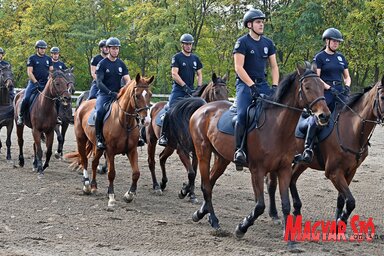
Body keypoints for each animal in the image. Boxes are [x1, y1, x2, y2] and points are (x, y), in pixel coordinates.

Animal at [73, 73, 153, 207]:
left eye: (150, 94)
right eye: (137, 95)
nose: (146, 120)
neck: (124, 122)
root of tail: (83, 104)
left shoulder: (132, 150)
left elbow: (136, 173)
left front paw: (129, 195)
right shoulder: (110, 151)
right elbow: (111, 173)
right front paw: (111, 196)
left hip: (98, 147)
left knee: (94, 162)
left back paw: (94, 186)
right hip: (81, 140)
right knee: (84, 160)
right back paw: (87, 186)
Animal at [144, 72, 228, 202]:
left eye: (227, 91)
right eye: (216, 91)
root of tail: (154, 106)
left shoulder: (196, 152)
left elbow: (194, 172)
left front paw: (191, 193)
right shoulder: (182, 151)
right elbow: (191, 173)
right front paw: (184, 191)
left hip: (170, 146)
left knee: (162, 158)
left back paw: (163, 183)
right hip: (152, 140)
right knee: (151, 162)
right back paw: (156, 186)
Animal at [182, 62, 330, 246]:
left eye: (322, 87)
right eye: (308, 87)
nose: (324, 115)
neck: (277, 127)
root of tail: (202, 108)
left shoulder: (284, 169)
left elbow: (286, 204)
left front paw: (289, 238)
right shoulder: (257, 170)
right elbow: (259, 205)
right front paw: (241, 228)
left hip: (222, 159)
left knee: (210, 181)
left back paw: (201, 214)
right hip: (203, 152)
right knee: (206, 185)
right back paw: (214, 221)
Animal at [268, 74, 384, 228]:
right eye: (382, 96)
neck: (351, 129)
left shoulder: (350, 171)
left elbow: (342, 199)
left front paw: (339, 222)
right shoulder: (333, 172)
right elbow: (350, 201)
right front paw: (341, 220)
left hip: (302, 162)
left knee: (292, 179)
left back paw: (297, 210)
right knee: (272, 184)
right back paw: (274, 214)